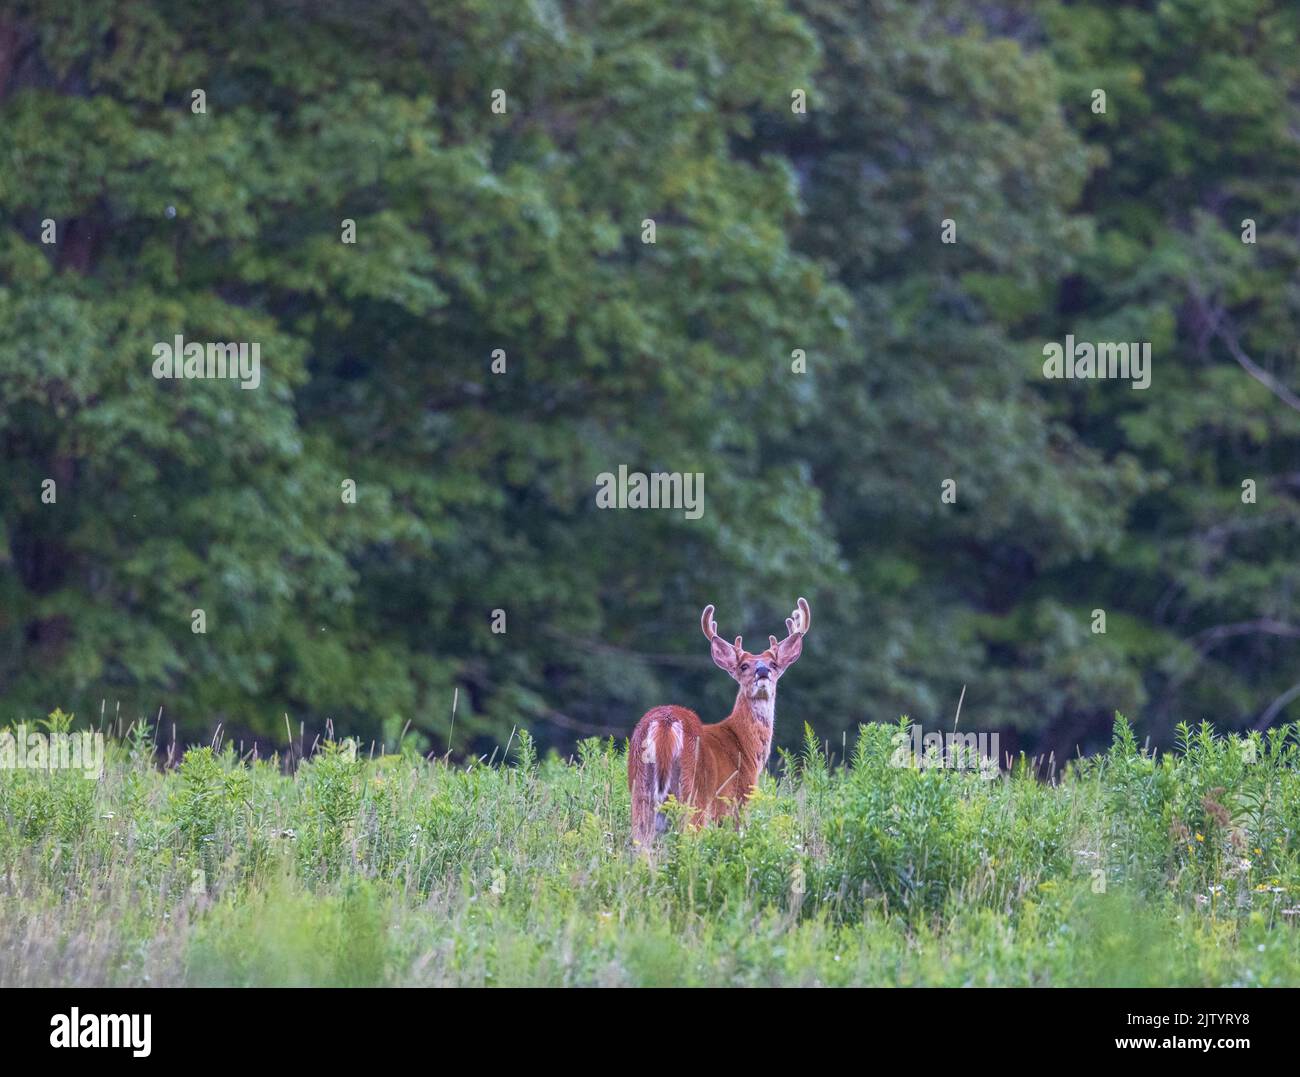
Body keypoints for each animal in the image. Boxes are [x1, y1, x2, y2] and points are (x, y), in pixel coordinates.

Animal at [624, 600, 806, 848]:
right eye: (743, 666)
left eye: (774, 663)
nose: (762, 671)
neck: (744, 745)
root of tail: (665, 722)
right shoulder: (738, 796)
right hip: (695, 791)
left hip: (640, 787)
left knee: (641, 842)